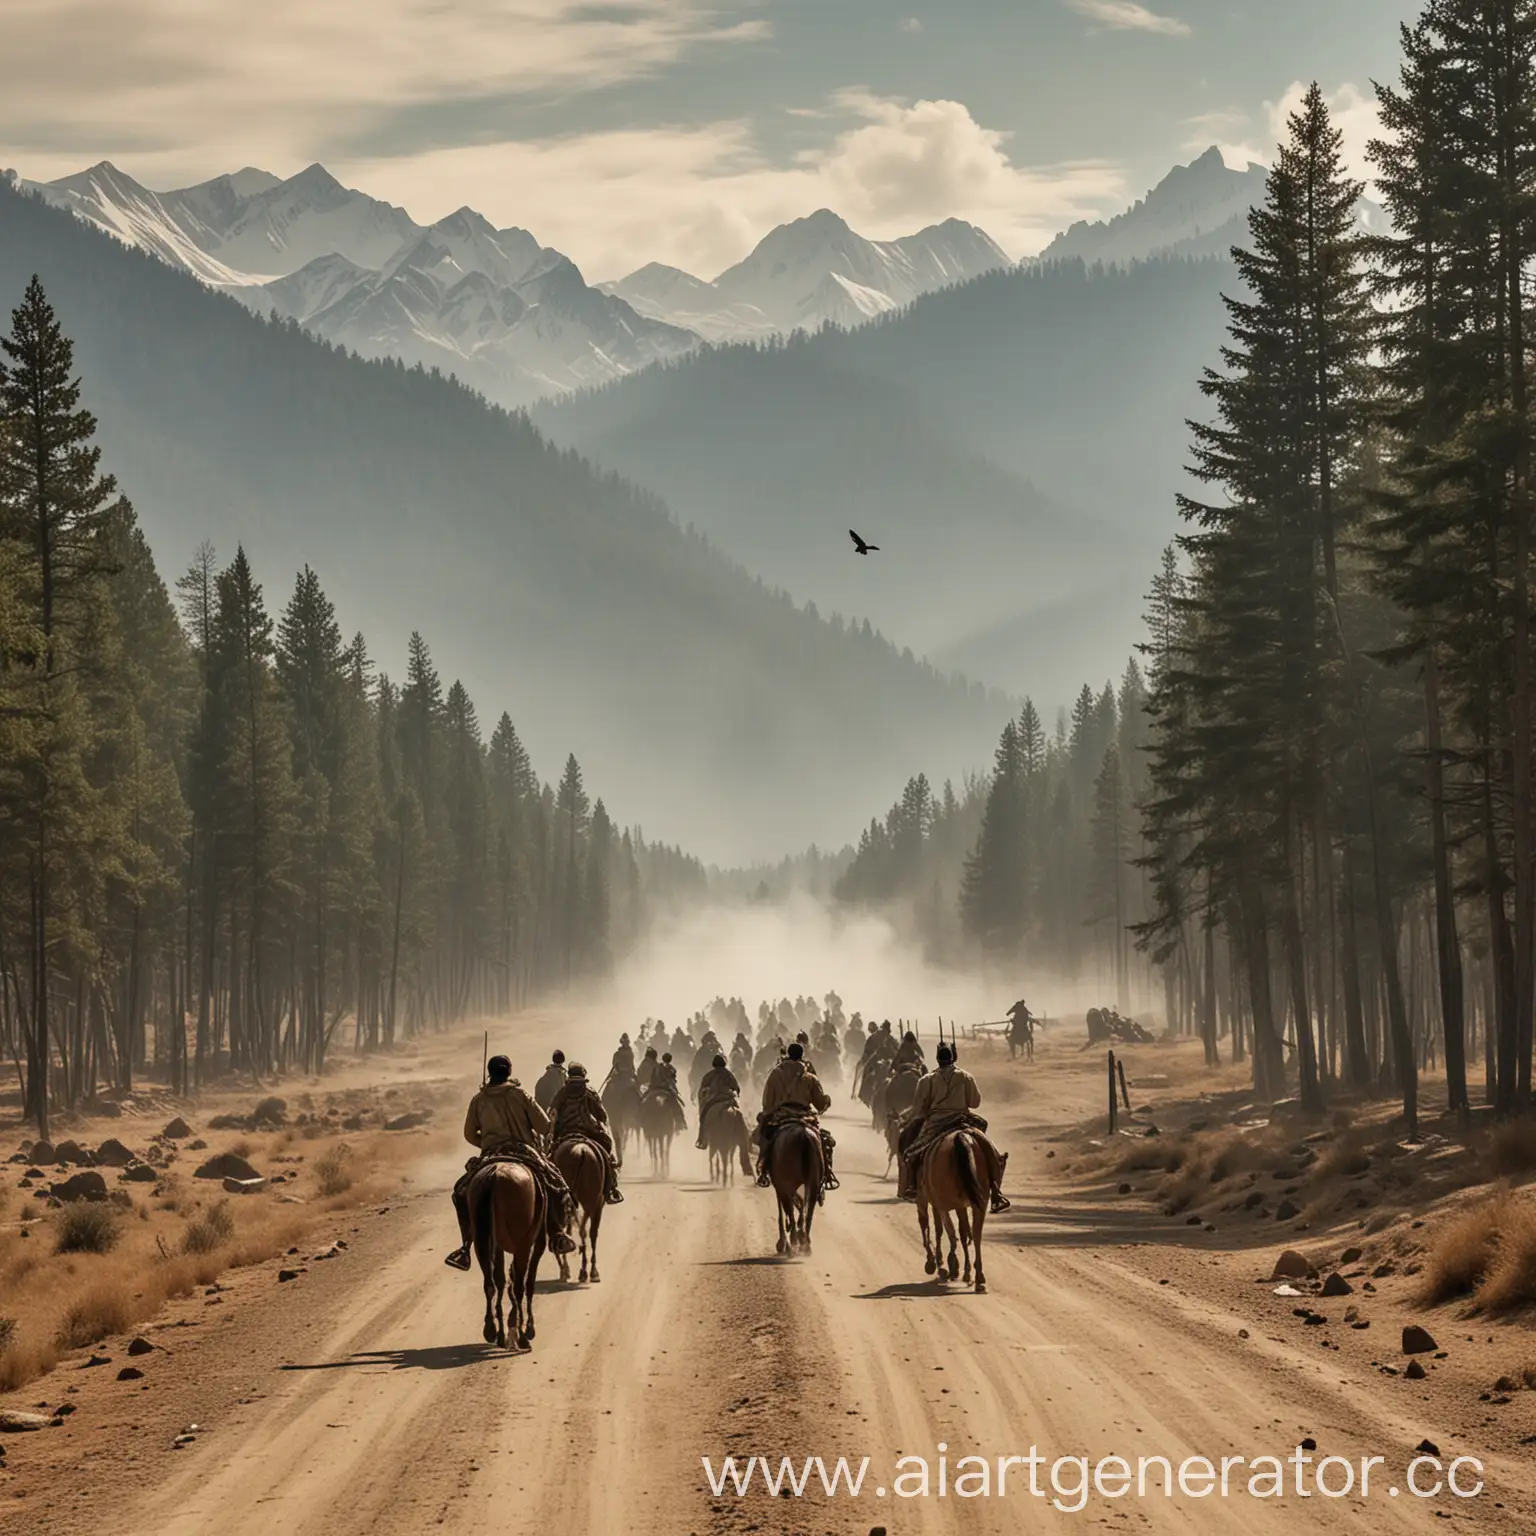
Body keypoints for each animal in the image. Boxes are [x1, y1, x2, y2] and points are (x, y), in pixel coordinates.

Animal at [470, 1155, 549, 1351]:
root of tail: (493, 1175)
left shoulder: (497, 1246)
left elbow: (502, 1281)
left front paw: (504, 1331)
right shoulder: (535, 1245)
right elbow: (527, 1284)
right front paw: (526, 1330)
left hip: (481, 1241)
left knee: (490, 1284)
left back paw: (492, 1330)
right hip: (522, 1244)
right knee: (519, 1285)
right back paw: (521, 1336)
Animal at [761, 1118, 823, 1259]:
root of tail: (804, 1134)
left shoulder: (780, 1186)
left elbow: (783, 1212)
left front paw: (782, 1243)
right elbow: (799, 1205)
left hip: (788, 1184)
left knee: (791, 1209)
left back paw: (793, 1244)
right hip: (813, 1183)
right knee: (809, 1209)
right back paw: (805, 1243)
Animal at [909, 1130, 1007, 1296]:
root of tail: (962, 1136)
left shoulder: (936, 1203)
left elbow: (939, 1229)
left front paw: (940, 1264)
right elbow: (957, 1232)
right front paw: (960, 1270)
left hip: (949, 1201)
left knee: (950, 1230)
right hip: (978, 1201)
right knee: (975, 1234)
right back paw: (978, 1278)